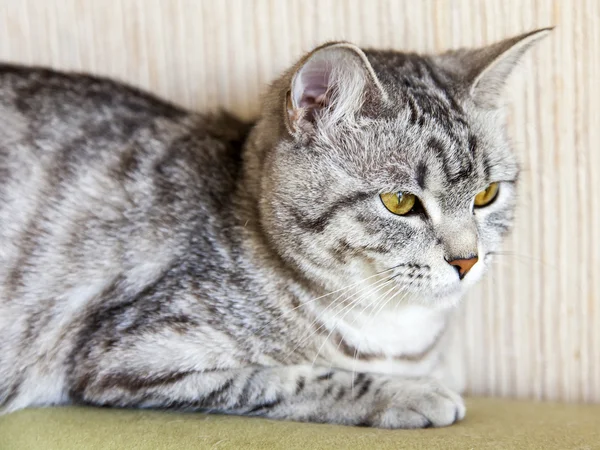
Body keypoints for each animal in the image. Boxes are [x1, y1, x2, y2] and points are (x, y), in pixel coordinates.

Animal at [0, 28, 552, 428]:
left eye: (487, 195)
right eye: (401, 203)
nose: (467, 260)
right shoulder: (133, 354)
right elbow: (302, 378)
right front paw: (408, 393)